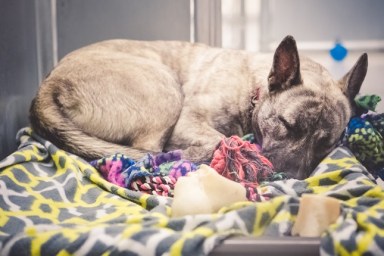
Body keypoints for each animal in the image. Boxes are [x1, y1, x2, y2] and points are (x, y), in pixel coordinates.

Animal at [28, 35, 368, 178]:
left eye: (327, 145)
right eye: (286, 125)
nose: (295, 177)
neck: (254, 88)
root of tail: (48, 85)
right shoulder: (188, 120)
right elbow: (219, 138)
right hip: (164, 88)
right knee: (149, 153)